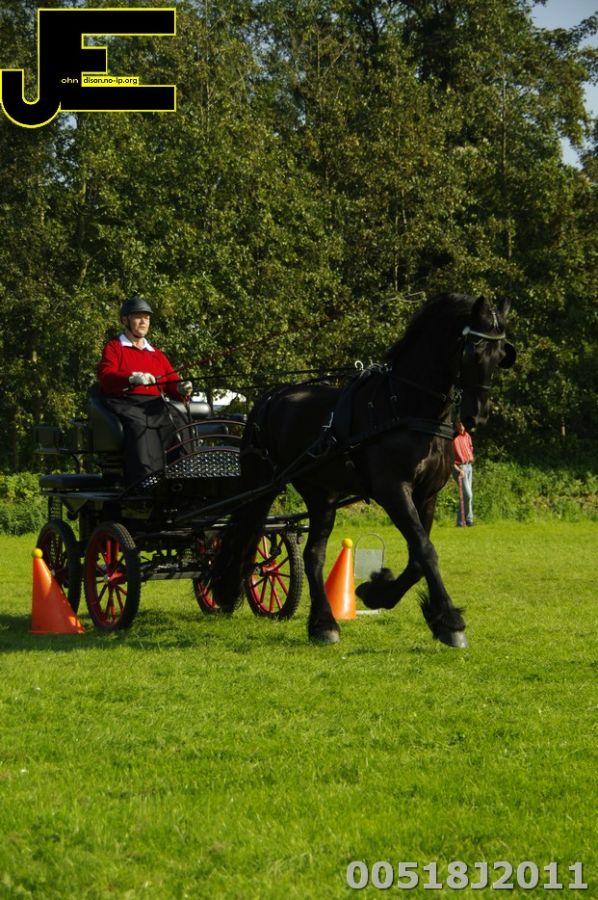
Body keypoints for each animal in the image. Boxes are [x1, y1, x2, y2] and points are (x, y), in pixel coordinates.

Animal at [210, 292, 516, 647]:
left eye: (501, 354)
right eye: (472, 351)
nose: (476, 416)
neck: (405, 406)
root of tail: (270, 396)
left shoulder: (427, 495)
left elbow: (417, 557)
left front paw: (379, 593)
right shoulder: (393, 489)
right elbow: (426, 551)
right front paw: (451, 622)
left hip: (321, 493)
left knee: (313, 554)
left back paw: (322, 624)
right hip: (263, 484)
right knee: (244, 533)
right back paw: (229, 590)